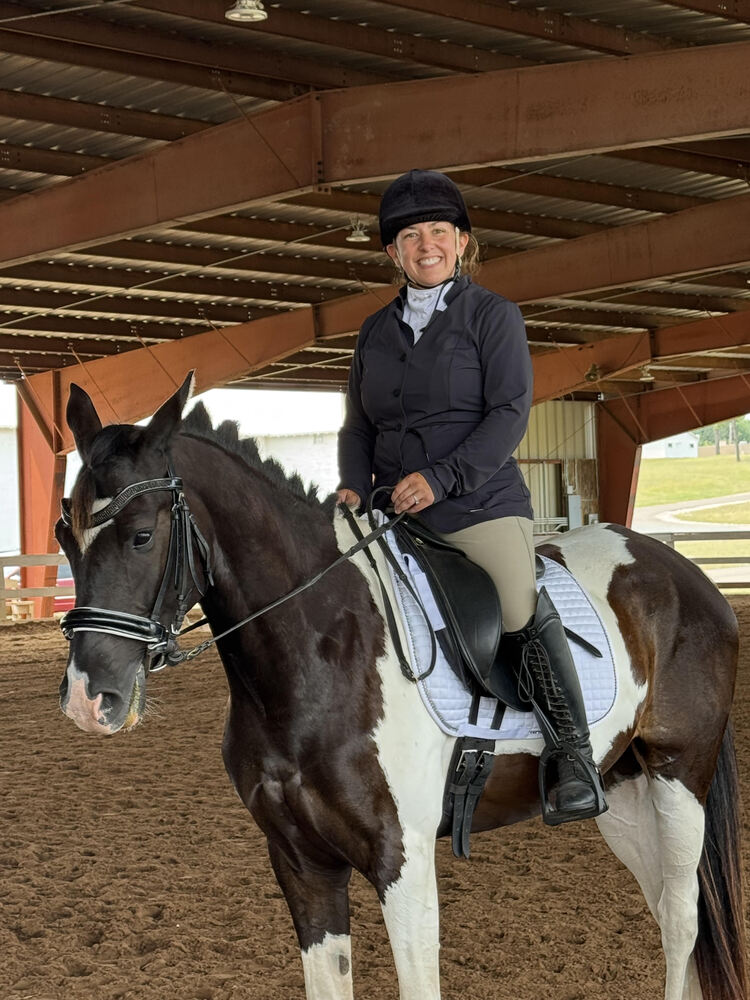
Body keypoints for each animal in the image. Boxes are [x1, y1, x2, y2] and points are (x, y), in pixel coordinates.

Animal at [56, 373, 746, 1000]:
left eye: (142, 535)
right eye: (65, 535)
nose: (90, 700)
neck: (318, 654)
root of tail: (682, 571)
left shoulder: (402, 861)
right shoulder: (302, 863)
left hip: (679, 776)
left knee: (681, 918)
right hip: (623, 789)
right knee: (662, 906)